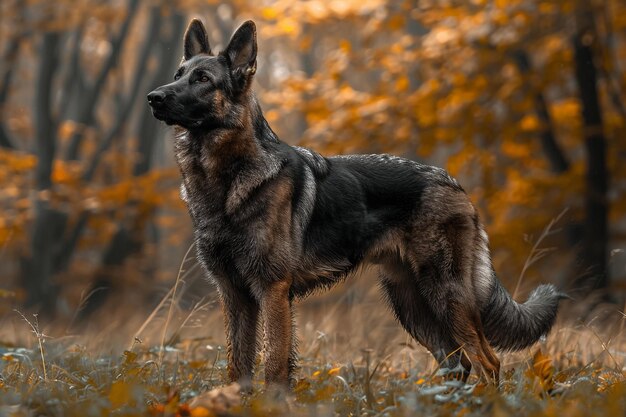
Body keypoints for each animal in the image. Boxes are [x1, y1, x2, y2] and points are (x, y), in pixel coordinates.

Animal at [147, 17, 560, 386]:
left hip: (445, 294)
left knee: (488, 362)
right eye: (179, 73)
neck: (226, 179)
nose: (153, 97)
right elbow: (238, 369)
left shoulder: (272, 291)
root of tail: (453, 182)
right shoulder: (235, 297)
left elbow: (275, 367)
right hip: (411, 303)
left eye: (202, 79)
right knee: (458, 364)